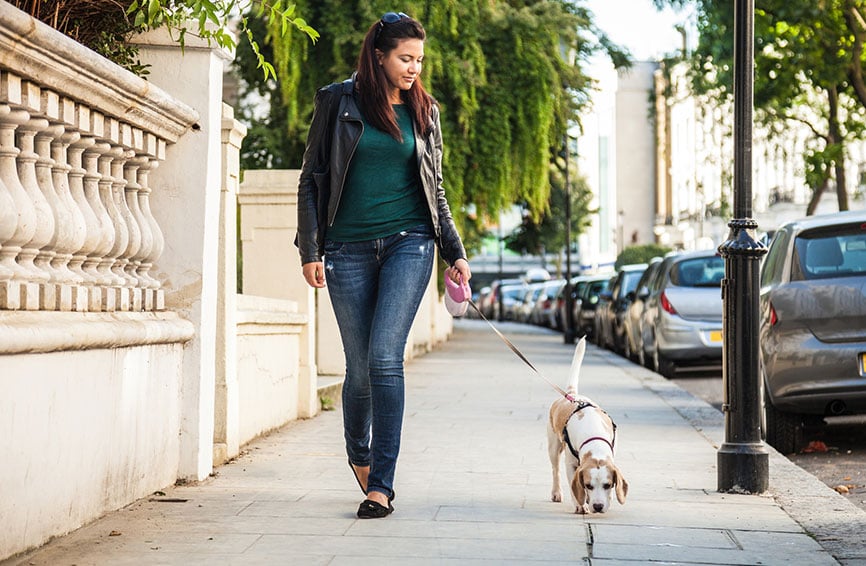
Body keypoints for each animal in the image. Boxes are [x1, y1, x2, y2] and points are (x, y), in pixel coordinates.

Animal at [548, 340, 628, 516]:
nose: (597, 506)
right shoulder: (571, 465)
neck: (594, 439)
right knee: (555, 470)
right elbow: (574, 488)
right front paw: (580, 505)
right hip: (553, 447)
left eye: (607, 485)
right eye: (588, 485)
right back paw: (556, 492)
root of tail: (572, 395)